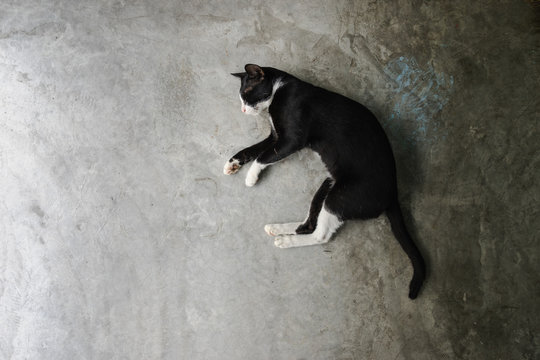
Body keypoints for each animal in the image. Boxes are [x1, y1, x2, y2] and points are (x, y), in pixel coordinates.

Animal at [224, 64, 426, 298]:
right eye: (241, 96)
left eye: (247, 93)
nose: (243, 110)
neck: (280, 89)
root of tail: (393, 192)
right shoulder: (275, 137)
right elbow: (253, 149)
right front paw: (233, 163)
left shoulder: (291, 140)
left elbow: (262, 156)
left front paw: (251, 176)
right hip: (328, 186)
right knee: (309, 224)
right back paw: (278, 228)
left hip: (340, 198)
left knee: (321, 235)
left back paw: (285, 240)